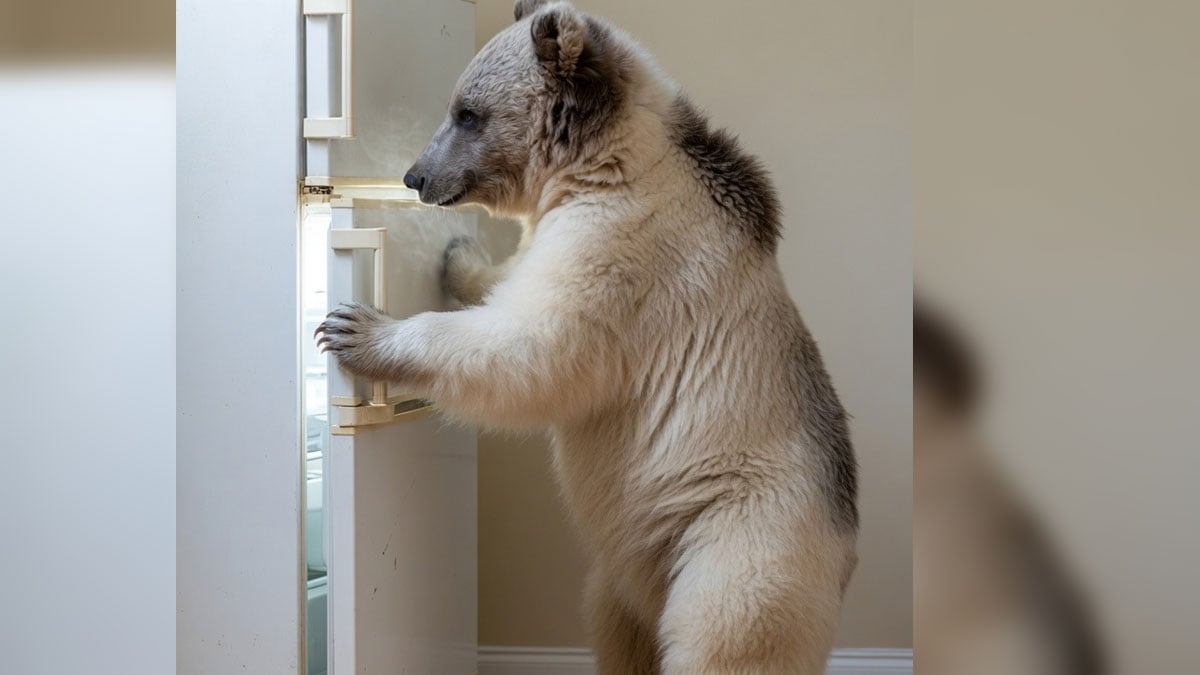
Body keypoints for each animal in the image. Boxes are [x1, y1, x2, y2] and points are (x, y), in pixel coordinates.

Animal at [317, 2, 858, 672]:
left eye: (467, 112)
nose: (416, 176)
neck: (595, 167)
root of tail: (846, 552)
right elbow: (513, 285)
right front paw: (458, 257)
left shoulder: (619, 248)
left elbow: (534, 345)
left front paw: (357, 327)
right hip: (621, 576)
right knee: (619, 634)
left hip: (740, 539)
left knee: (725, 639)